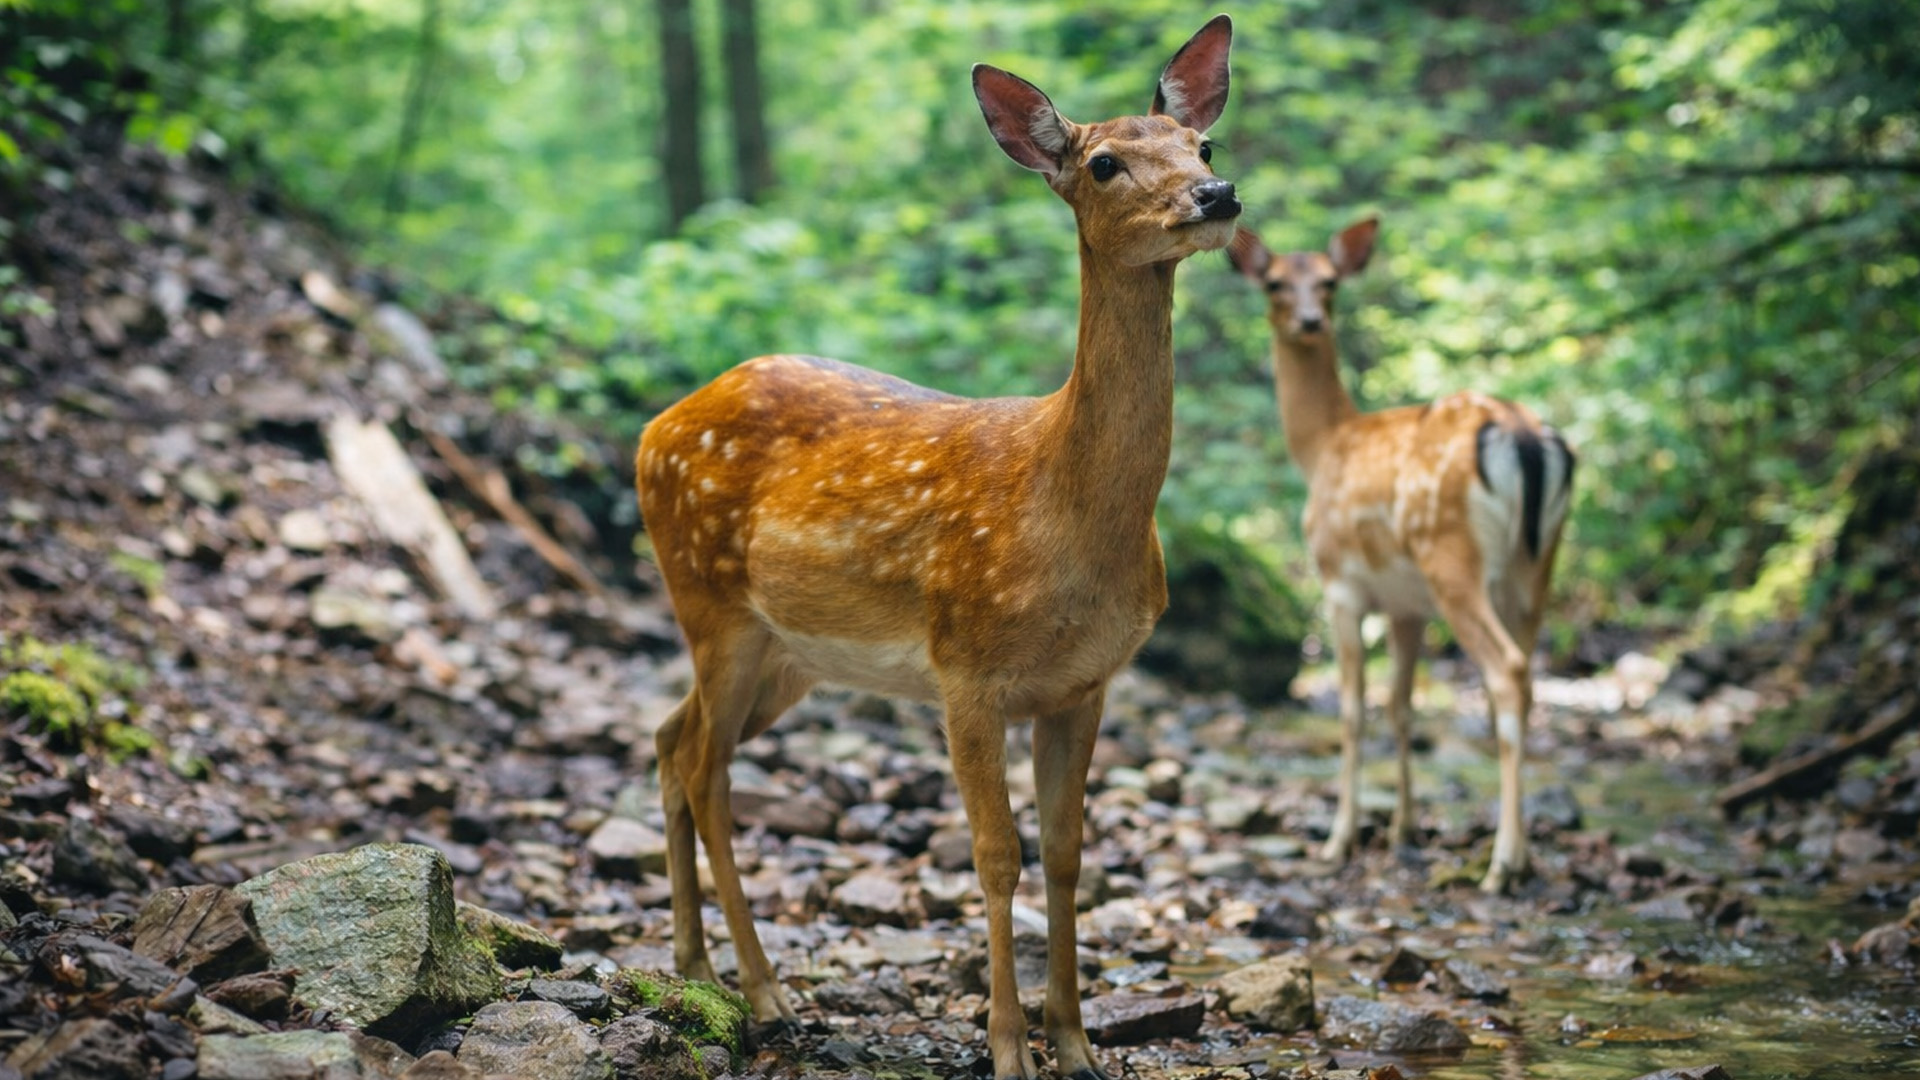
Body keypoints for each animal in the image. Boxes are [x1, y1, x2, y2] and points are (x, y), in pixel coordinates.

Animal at [634, 18, 1239, 1080]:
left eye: (1202, 145)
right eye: (1105, 163)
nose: (1218, 196)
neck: (1065, 520)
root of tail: (650, 430)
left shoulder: (1085, 684)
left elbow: (1067, 852)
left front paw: (1076, 1044)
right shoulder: (967, 667)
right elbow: (996, 856)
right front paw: (1007, 1049)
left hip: (788, 656)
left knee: (671, 740)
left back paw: (696, 966)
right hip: (709, 602)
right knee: (707, 772)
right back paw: (766, 993)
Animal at [1227, 218, 1574, 894]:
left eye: (1329, 281)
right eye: (1277, 281)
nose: (1309, 320)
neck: (1322, 445)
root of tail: (1521, 435)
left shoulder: (1338, 582)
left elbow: (1353, 712)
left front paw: (1339, 840)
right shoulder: (1406, 605)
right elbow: (1400, 707)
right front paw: (1403, 828)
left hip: (1451, 557)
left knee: (1506, 671)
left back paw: (1502, 864)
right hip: (1538, 565)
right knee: (1525, 680)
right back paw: (1519, 854)